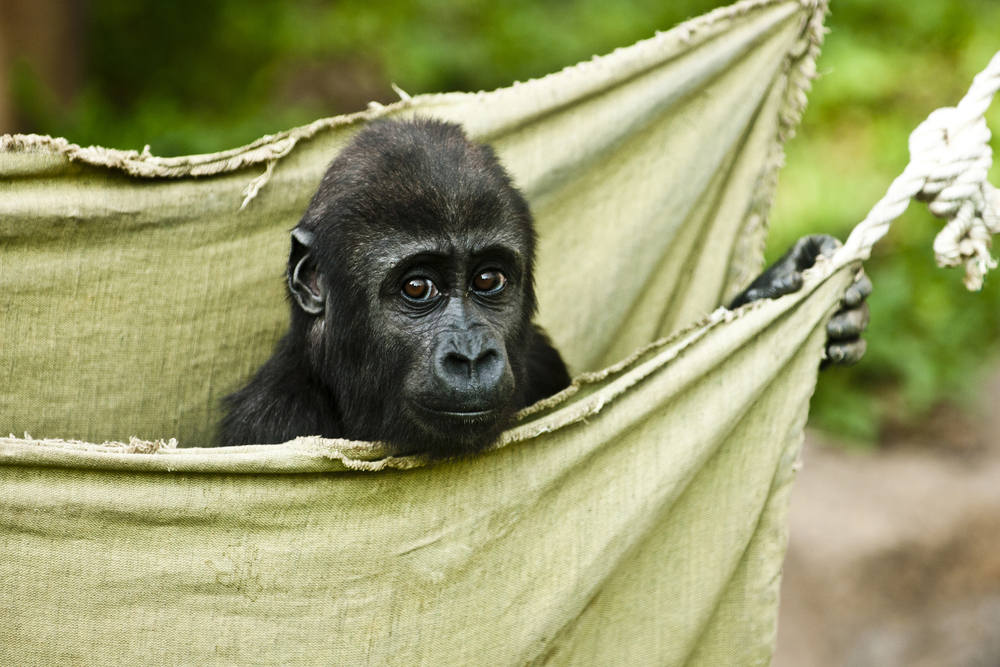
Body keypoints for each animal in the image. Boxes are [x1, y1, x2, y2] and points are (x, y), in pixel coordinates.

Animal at [219, 118, 869, 457]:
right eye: (417, 289)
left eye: (488, 280)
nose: (470, 355)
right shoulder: (269, 426)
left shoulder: (541, 358)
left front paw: (779, 284)